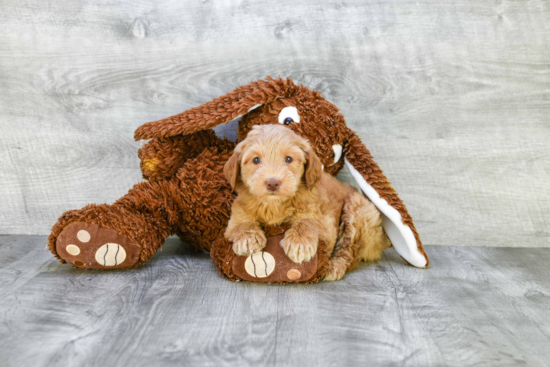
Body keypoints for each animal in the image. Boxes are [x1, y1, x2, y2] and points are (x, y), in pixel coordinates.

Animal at [222, 124, 390, 282]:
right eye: (256, 160)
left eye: (288, 159)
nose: (272, 183)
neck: (275, 205)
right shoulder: (236, 214)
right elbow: (241, 223)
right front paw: (247, 238)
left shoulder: (324, 220)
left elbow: (308, 221)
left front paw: (299, 243)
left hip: (359, 211)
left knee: (349, 251)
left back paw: (334, 266)